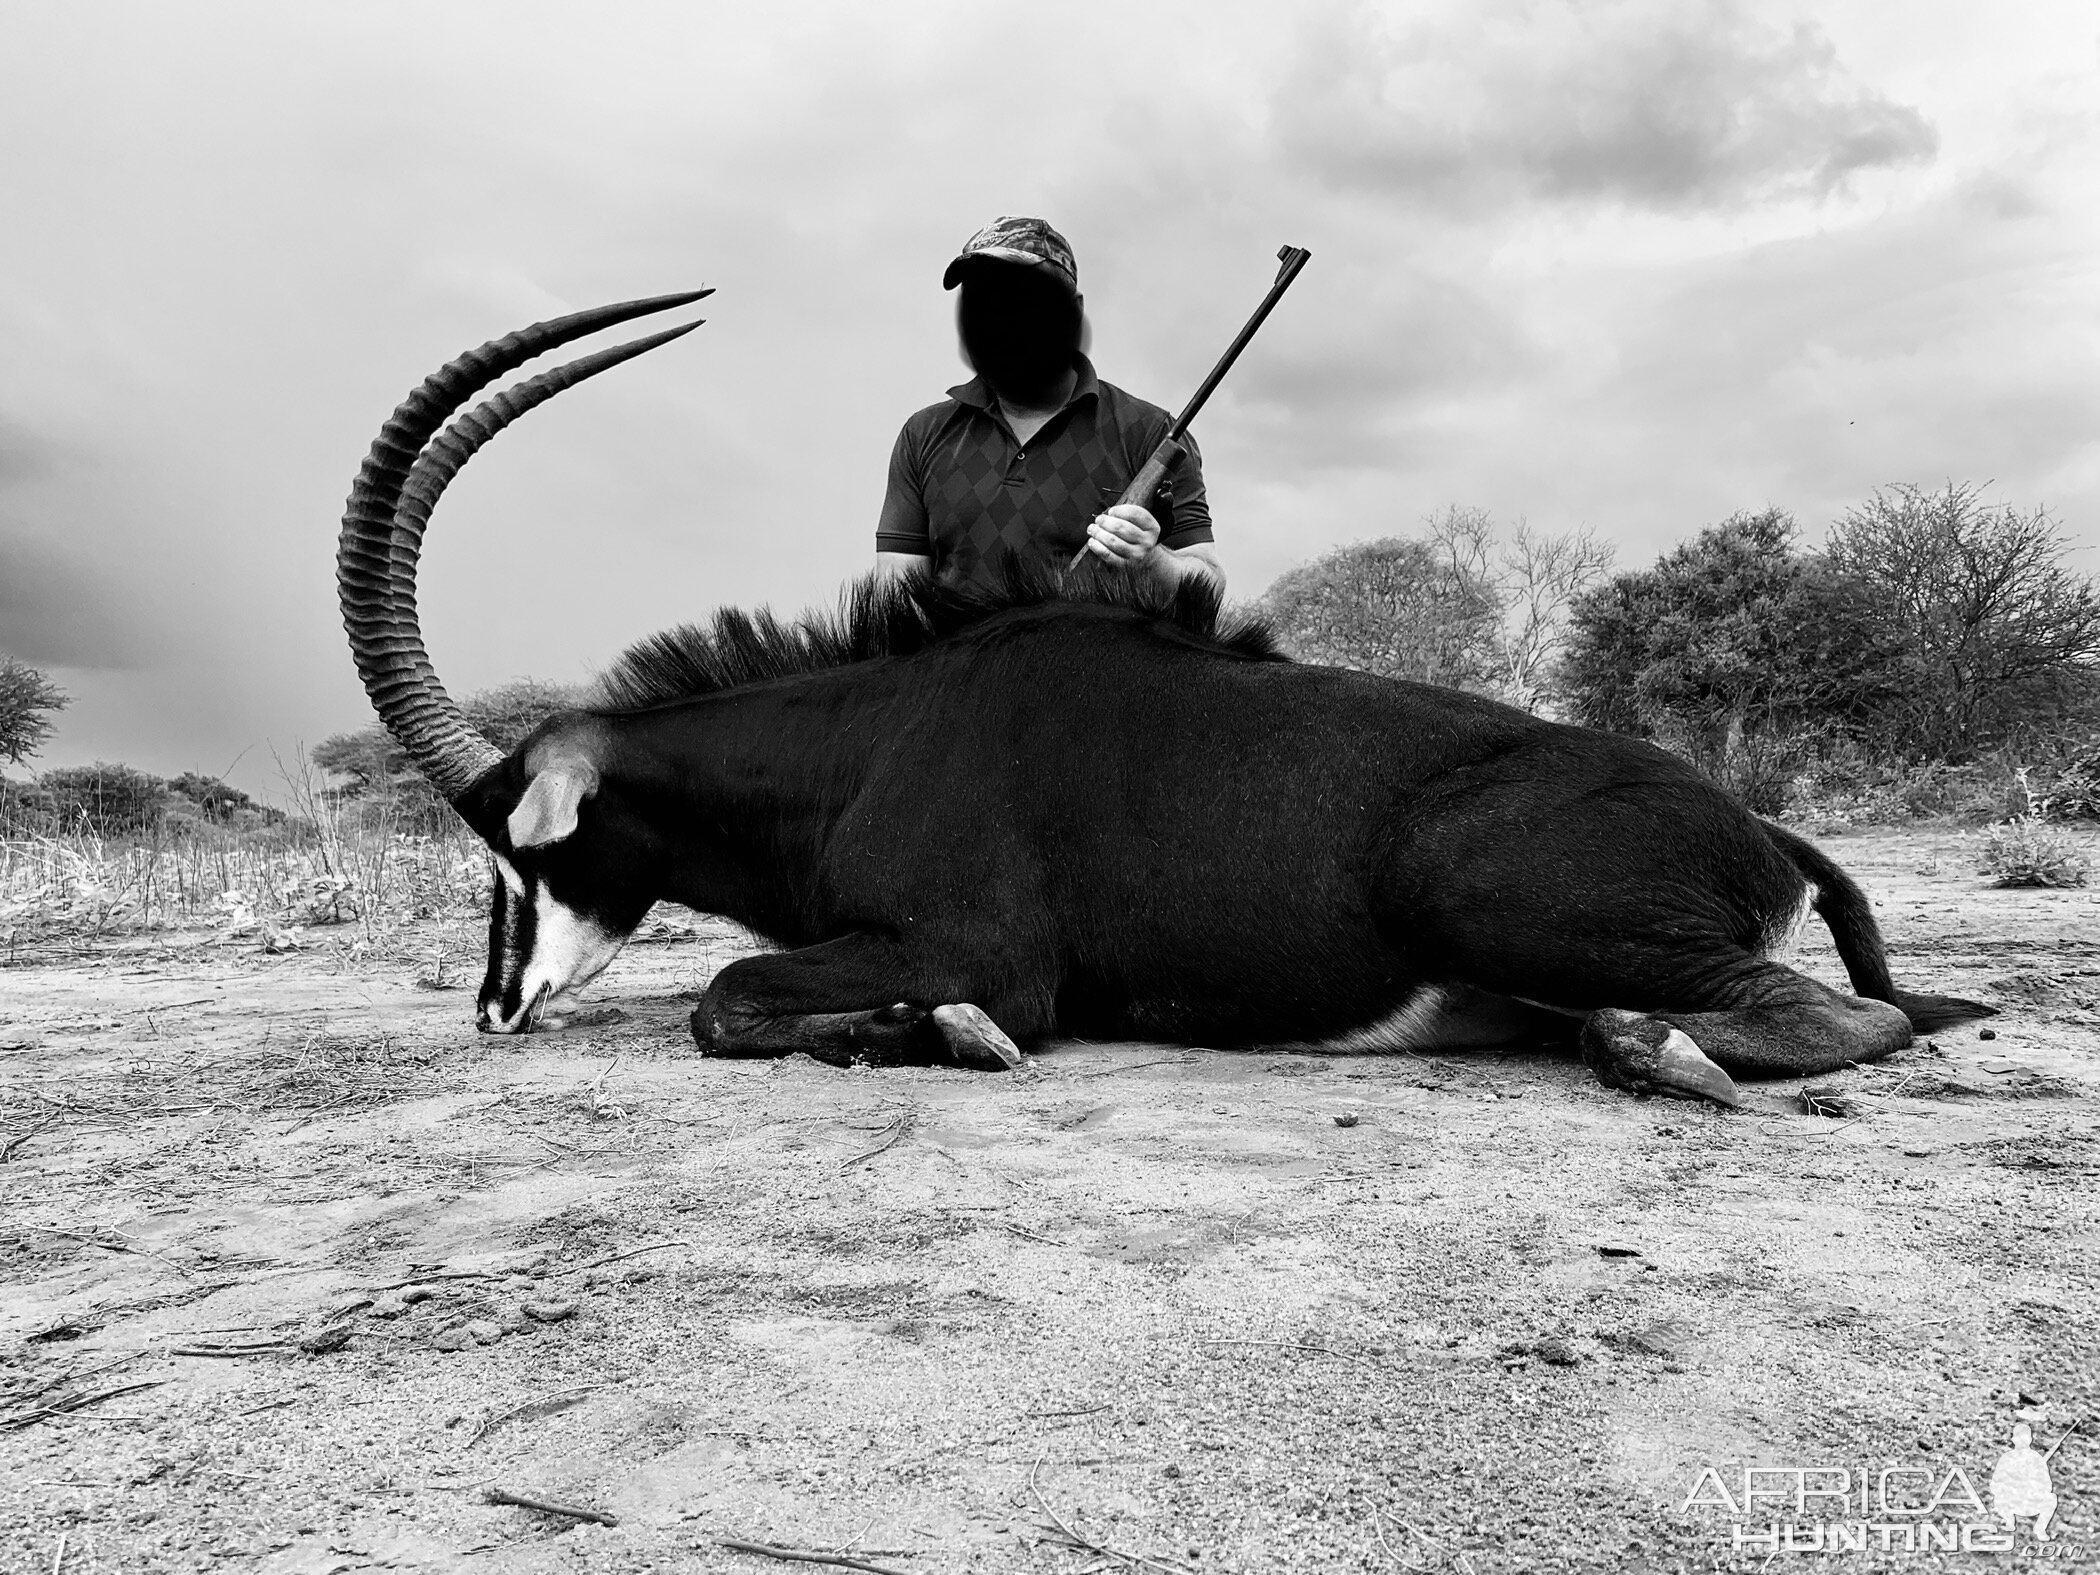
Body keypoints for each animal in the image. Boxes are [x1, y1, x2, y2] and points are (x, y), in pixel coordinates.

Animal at [340, 294, 1982, 1108]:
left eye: (517, 844)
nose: (493, 1006)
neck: (868, 738)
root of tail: (1760, 825)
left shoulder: (978, 946)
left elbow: (731, 996)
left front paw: (942, 1036)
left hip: (1495, 898)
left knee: (1831, 1020)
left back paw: (1654, 1049)